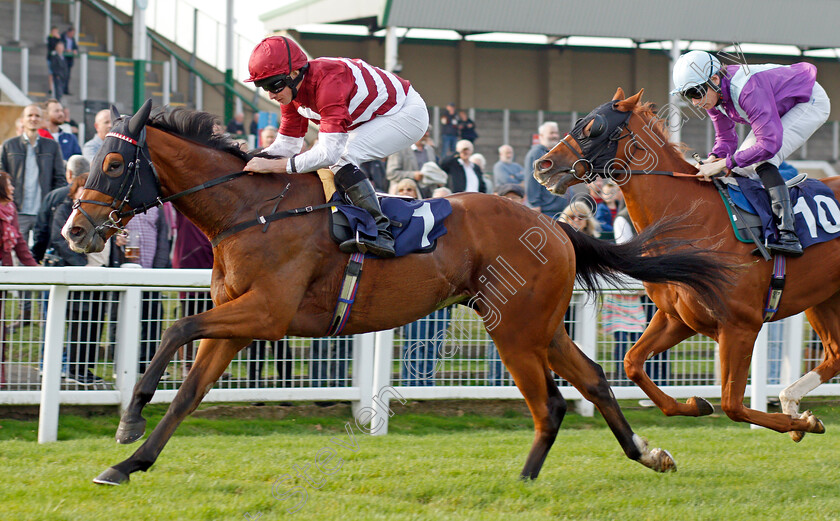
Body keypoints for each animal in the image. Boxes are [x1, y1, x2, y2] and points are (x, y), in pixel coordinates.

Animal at [65, 98, 732, 484]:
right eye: (92, 159)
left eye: (116, 166)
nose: (76, 230)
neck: (249, 211)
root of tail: (554, 225)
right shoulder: (236, 321)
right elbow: (188, 394)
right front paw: (128, 462)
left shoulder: (264, 314)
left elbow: (176, 329)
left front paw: (128, 421)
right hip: (534, 323)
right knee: (590, 379)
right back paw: (648, 453)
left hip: (516, 327)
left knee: (551, 404)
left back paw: (524, 480)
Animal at [536, 88, 836, 438]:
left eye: (593, 128)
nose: (542, 165)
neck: (694, 220)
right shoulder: (676, 317)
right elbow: (632, 363)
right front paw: (696, 404)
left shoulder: (741, 325)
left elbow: (733, 405)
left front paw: (800, 423)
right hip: (824, 299)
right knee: (835, 354)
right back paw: (790, 400)